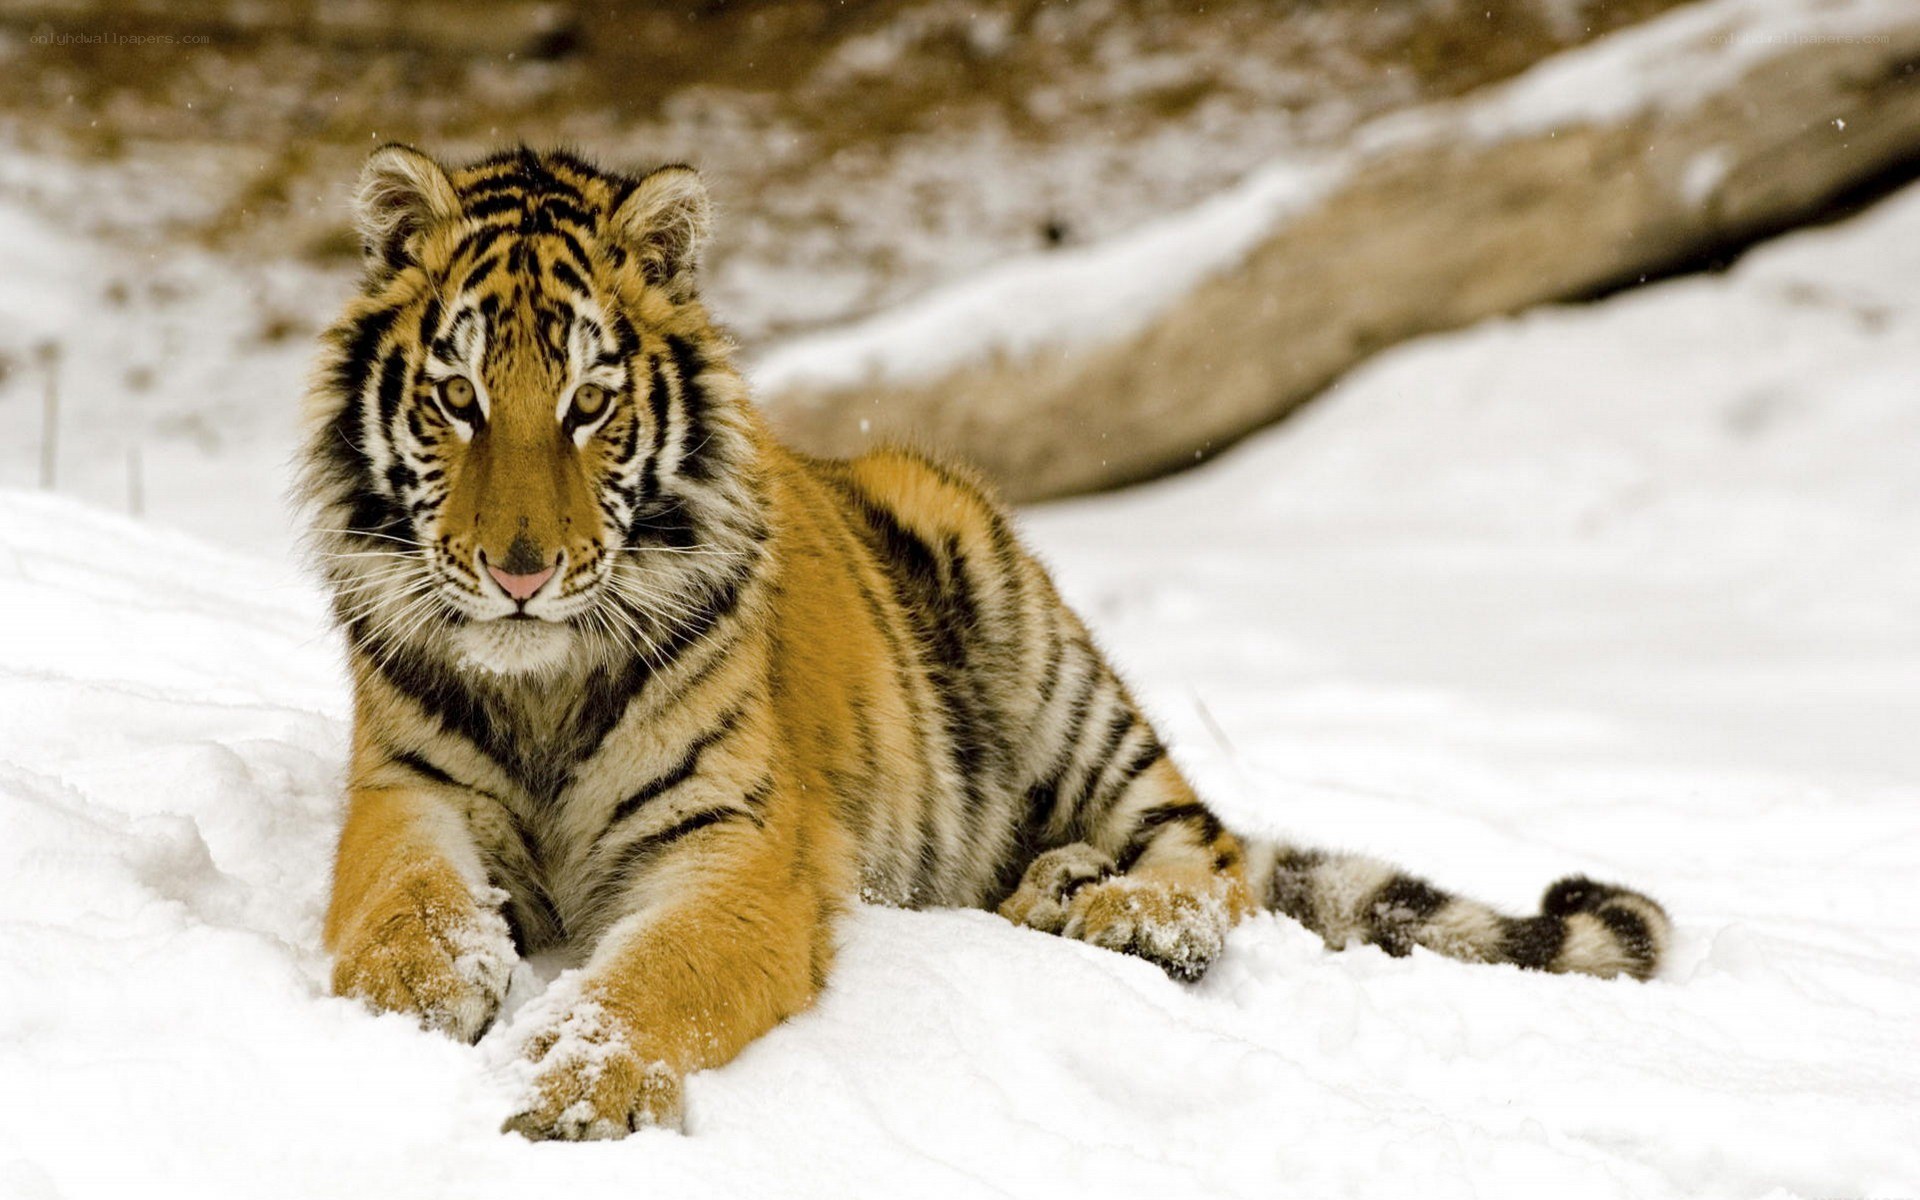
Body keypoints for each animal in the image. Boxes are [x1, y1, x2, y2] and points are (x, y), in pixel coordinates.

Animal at [302, 144, 1671, 1142]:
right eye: (458, 398)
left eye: (590, 404)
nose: (520, 572)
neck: (540, 683)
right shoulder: (406, 792)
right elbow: (406, 903)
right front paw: (407, 1005)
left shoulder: (738, 849)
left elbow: (657, 976)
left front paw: (578, 1089)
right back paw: (1055, 889)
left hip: (1049, 660)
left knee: (1213, 853)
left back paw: (1127, 913)